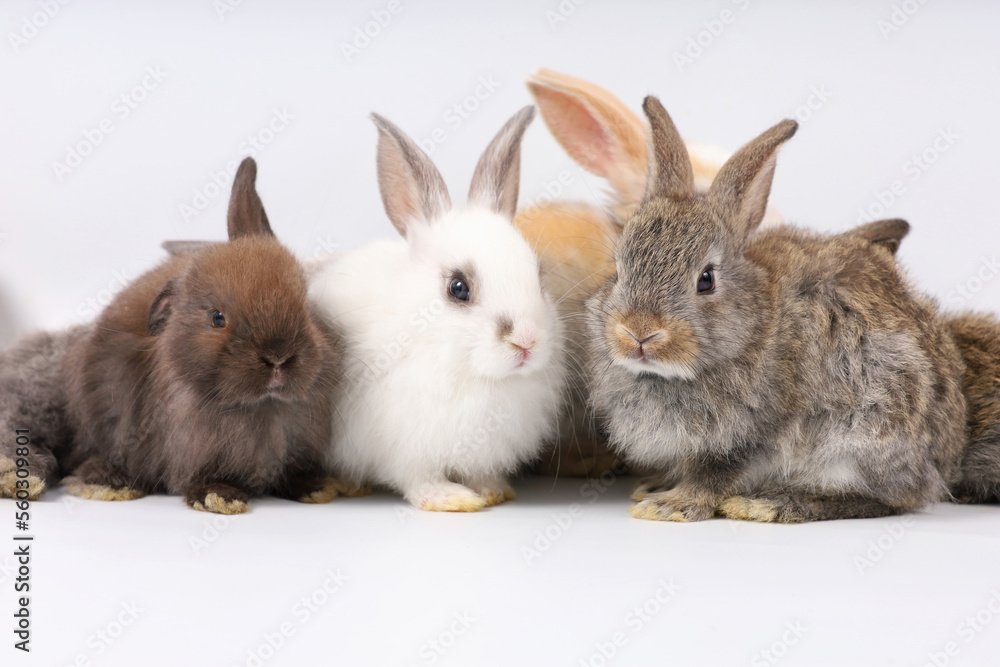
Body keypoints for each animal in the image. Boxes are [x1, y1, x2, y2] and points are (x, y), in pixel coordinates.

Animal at [61, 158, 343, 514]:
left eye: (306, 305)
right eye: (217, 318)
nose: (278, 357)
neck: (262, 407)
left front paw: (315, 487)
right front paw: (219, 497)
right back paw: (110, 483)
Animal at [309, 106, 567, 512]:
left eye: (539, 275)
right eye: (458, 288)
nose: (526, 342)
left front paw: (493, 491)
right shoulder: (406, 450)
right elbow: (419, 479)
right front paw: (453, 500)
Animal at [586, 96, 968, 523]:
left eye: (706, 279)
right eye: (618, 269)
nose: (638, 331)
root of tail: (942, 460)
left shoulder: (752, 434)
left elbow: (716, 473)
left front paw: (671, 506)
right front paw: (656, 489)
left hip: (863, 437)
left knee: (884, 500)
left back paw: (767, 503)